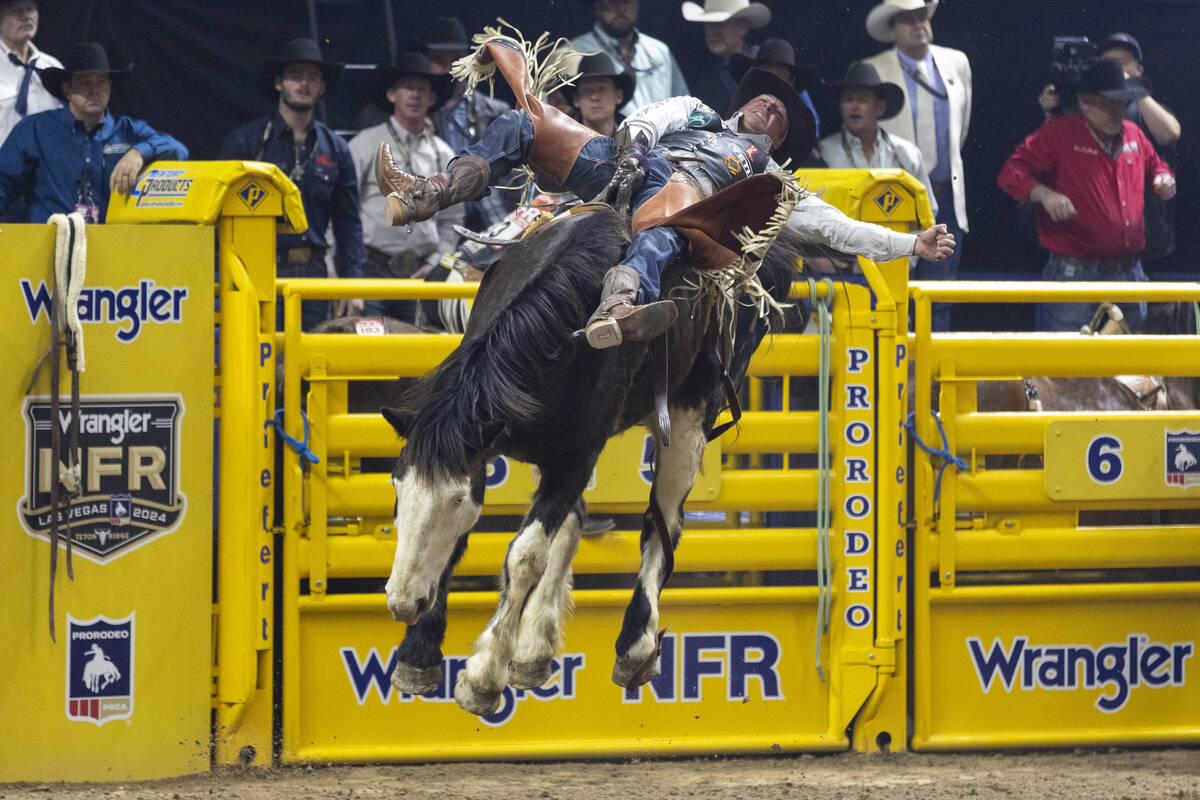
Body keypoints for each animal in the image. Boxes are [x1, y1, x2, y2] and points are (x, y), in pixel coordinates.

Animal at [379, 205, 801, 714]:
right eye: (397, 486)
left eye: (458, 500)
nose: (402, 603)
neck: (559, 333)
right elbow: (465, 545)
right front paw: (417, 655)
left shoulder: (575, 457)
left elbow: (526, 555)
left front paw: (482, 676)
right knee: (577, 522)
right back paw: (533, 651)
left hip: (693, 411)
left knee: (662, 523)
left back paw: (634, 645)